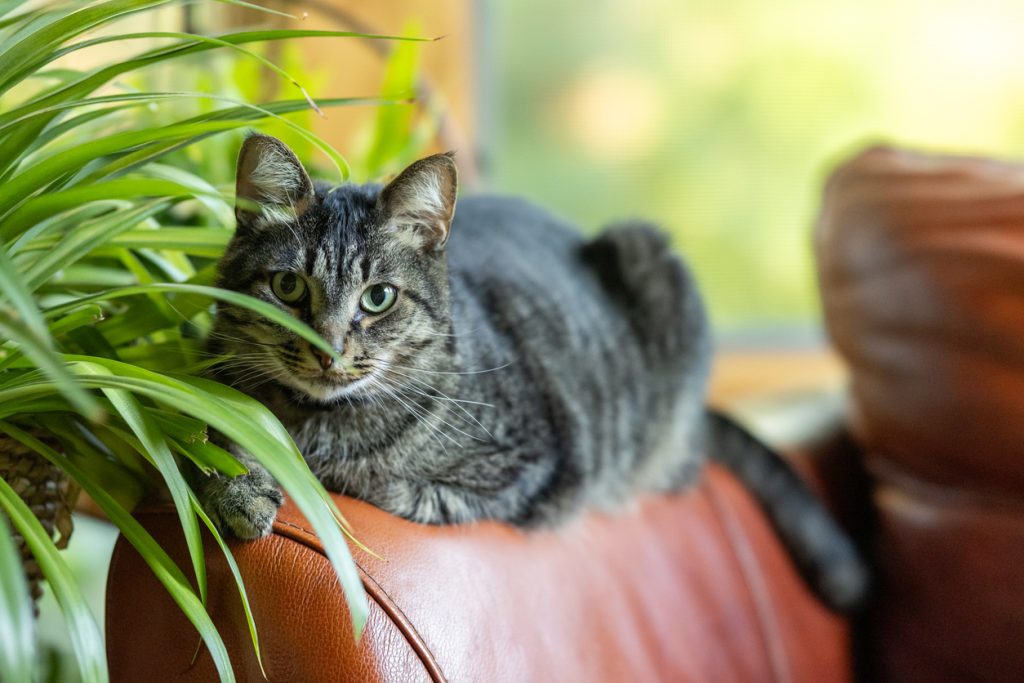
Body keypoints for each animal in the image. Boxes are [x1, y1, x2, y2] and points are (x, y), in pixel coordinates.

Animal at [201, 132, 872, 610]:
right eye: (289, 287)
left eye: (378, 298)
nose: (330, 351)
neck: (317, 415)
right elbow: (211, 438)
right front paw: (242, 486)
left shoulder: (526, 465)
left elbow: (378, 479)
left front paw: (308, 470)